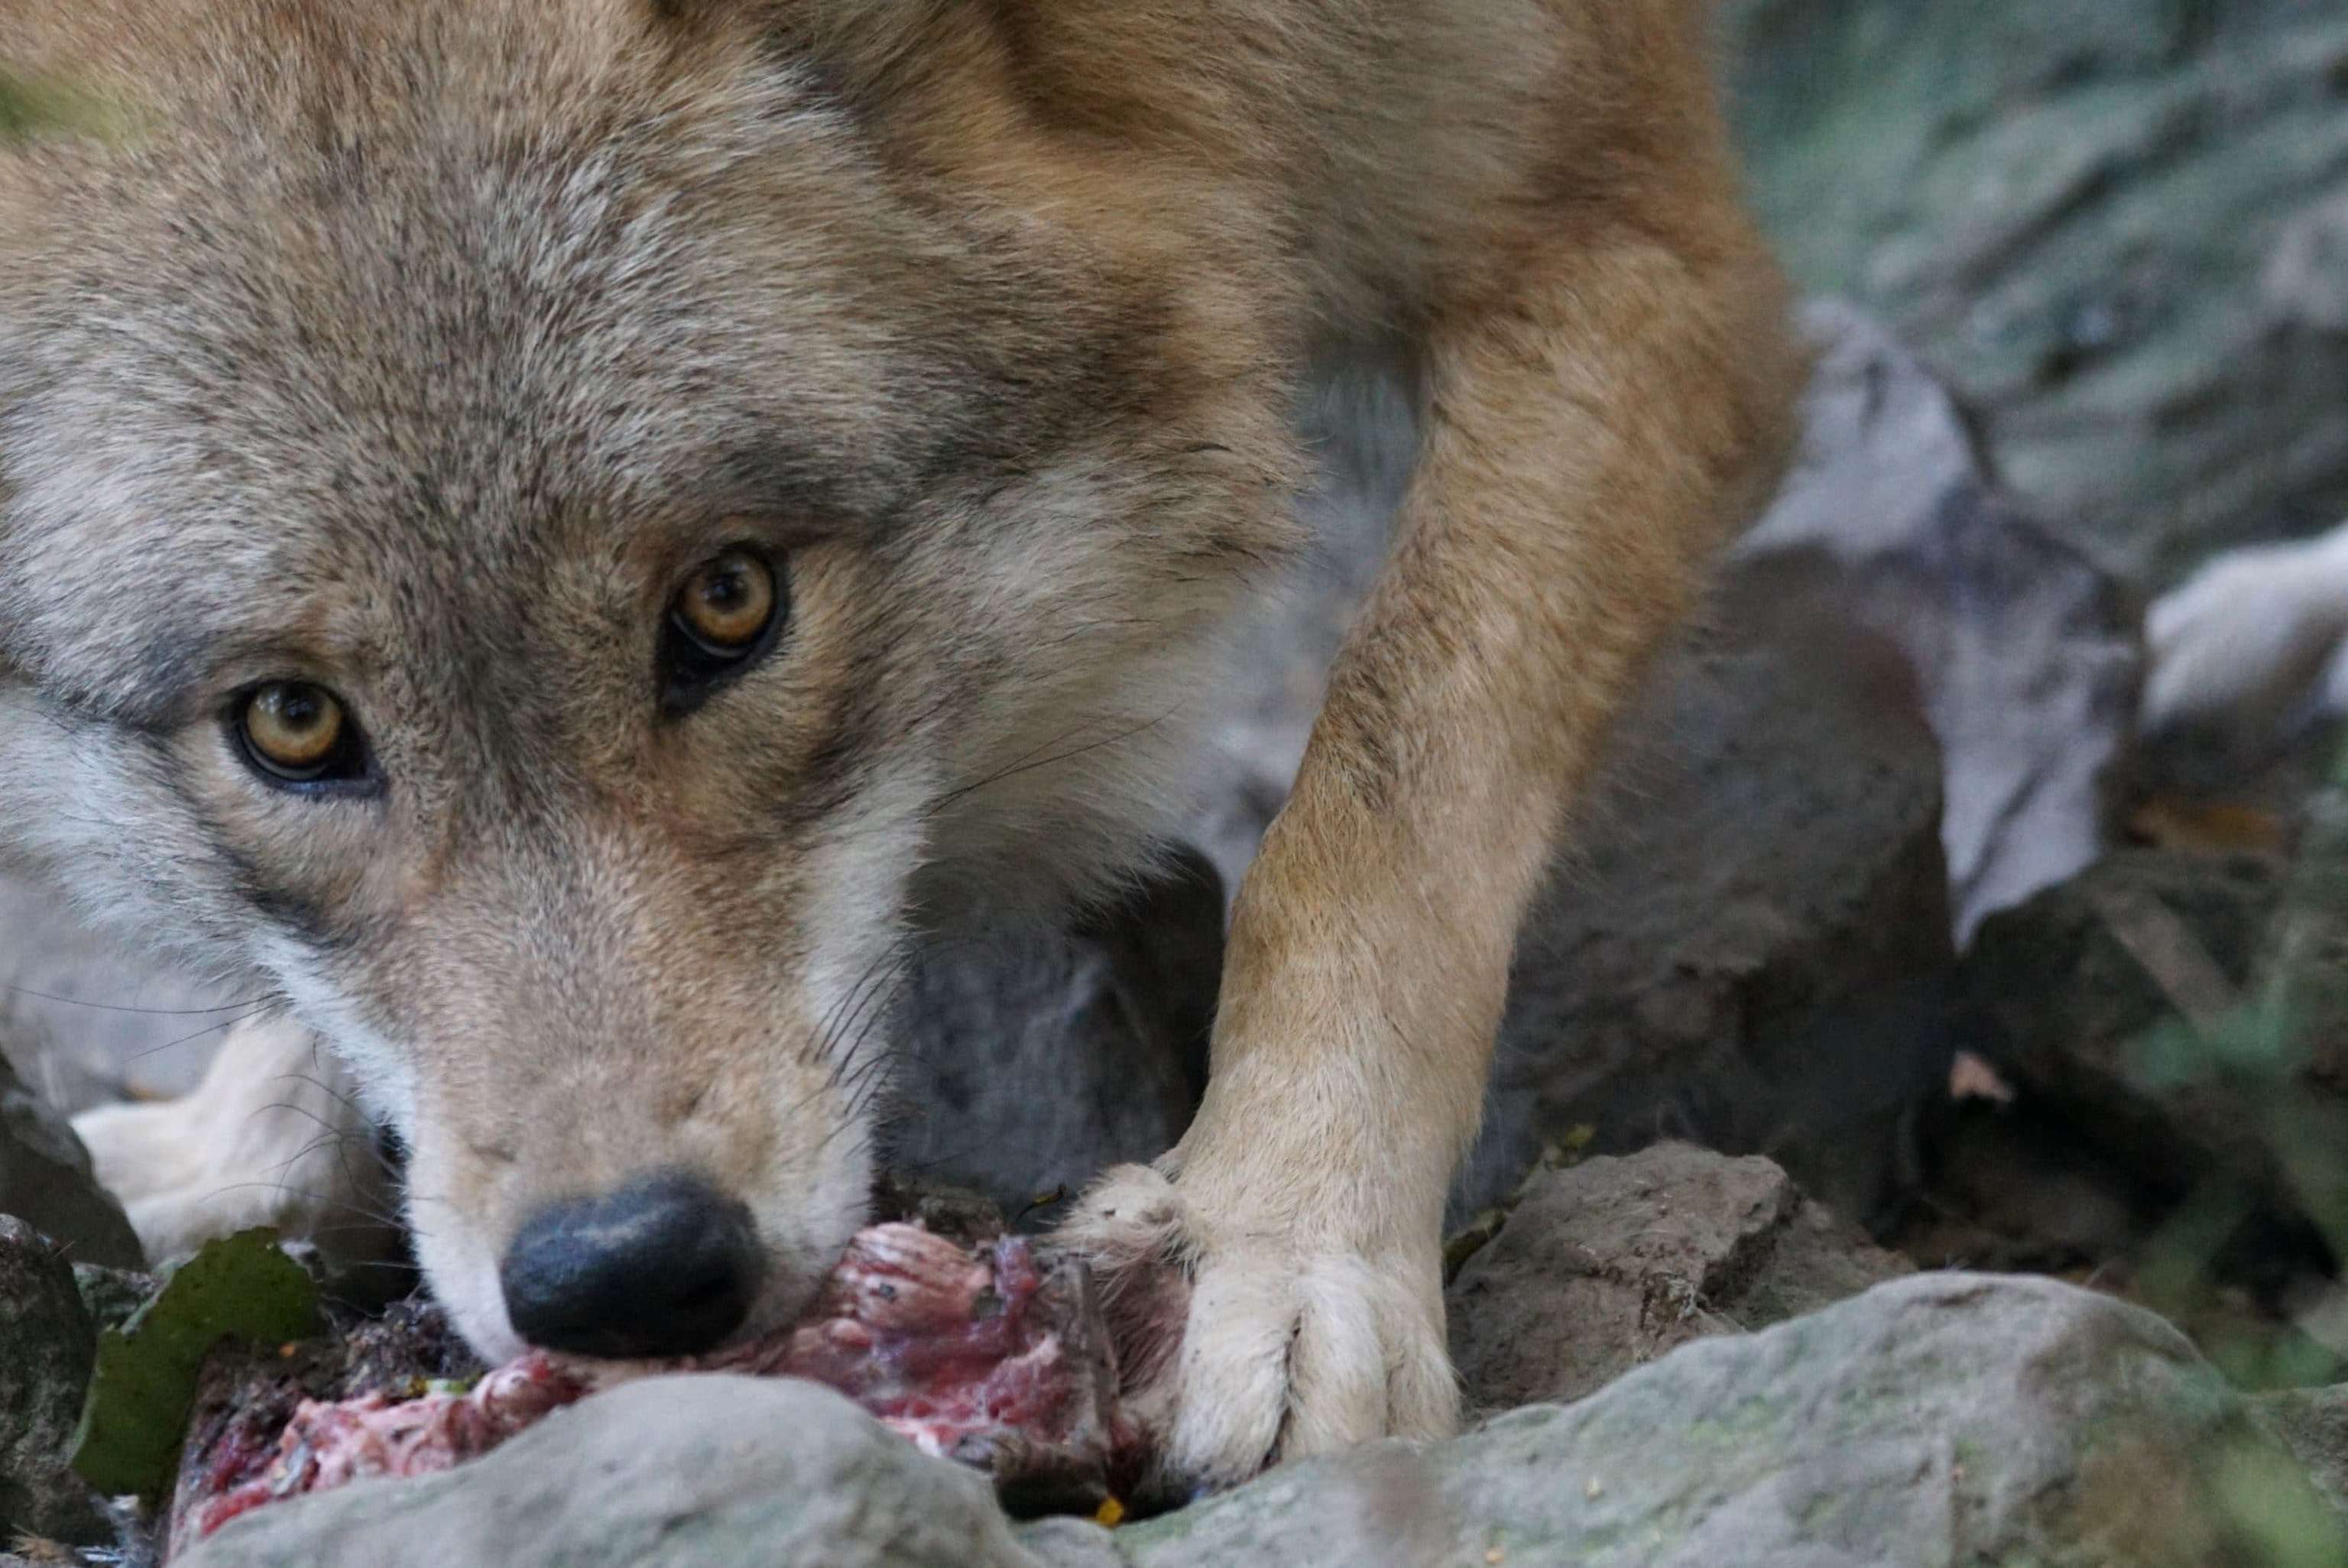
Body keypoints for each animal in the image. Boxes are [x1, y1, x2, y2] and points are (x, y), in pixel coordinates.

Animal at [0, 0, 1797, 1495]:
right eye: (291, 720)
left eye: (727, 601)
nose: (629, 1272)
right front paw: (228, 1152)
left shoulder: (1621, 222)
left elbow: (1385, 789)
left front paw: (1277, 1240)